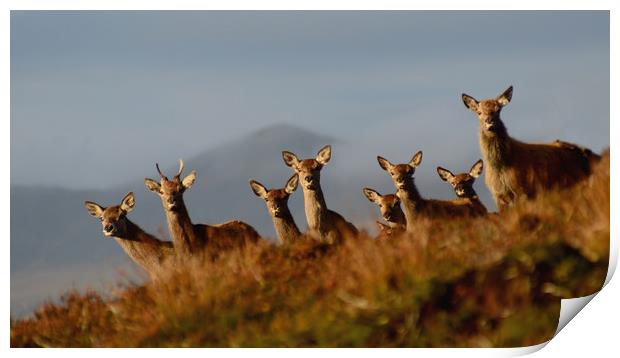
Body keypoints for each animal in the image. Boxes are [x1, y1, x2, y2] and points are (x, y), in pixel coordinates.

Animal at [462, 85, 600, 211]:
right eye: (479, 112)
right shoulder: (498, 195)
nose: (489, 121)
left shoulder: (523, 190)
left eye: (498, 110)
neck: (501, 166)